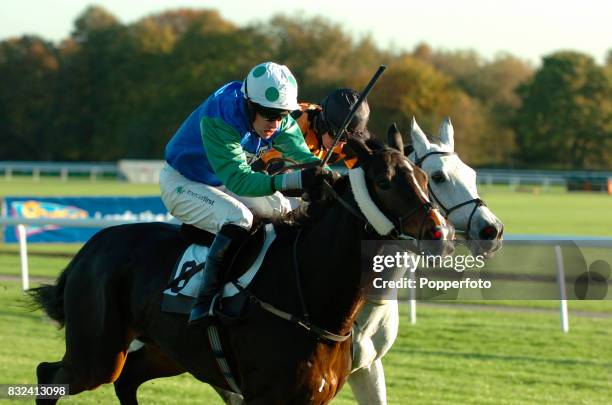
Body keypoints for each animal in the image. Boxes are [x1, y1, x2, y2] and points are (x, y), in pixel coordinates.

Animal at [28, 137, 452, 402]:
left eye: (424, 178)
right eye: (384, 181)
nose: (441, 234)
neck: (307, 297)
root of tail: (91, 247)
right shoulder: (263, 397)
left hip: (165, 351)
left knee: (126, 380)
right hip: (97, 354)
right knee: (48, 376)